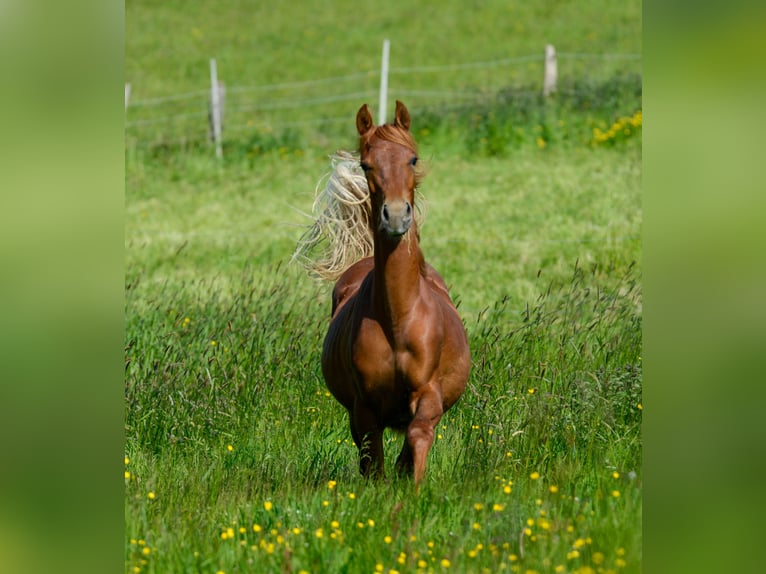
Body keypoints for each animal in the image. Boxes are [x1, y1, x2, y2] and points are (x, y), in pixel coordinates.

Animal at [296, 100, 472, 486]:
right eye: (366, 164)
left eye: (412, 159)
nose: (394, 216)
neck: (399, 319)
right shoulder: (364, 406)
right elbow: (373, 460)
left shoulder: (429, 393)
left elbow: (417, 435)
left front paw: (413, 486)